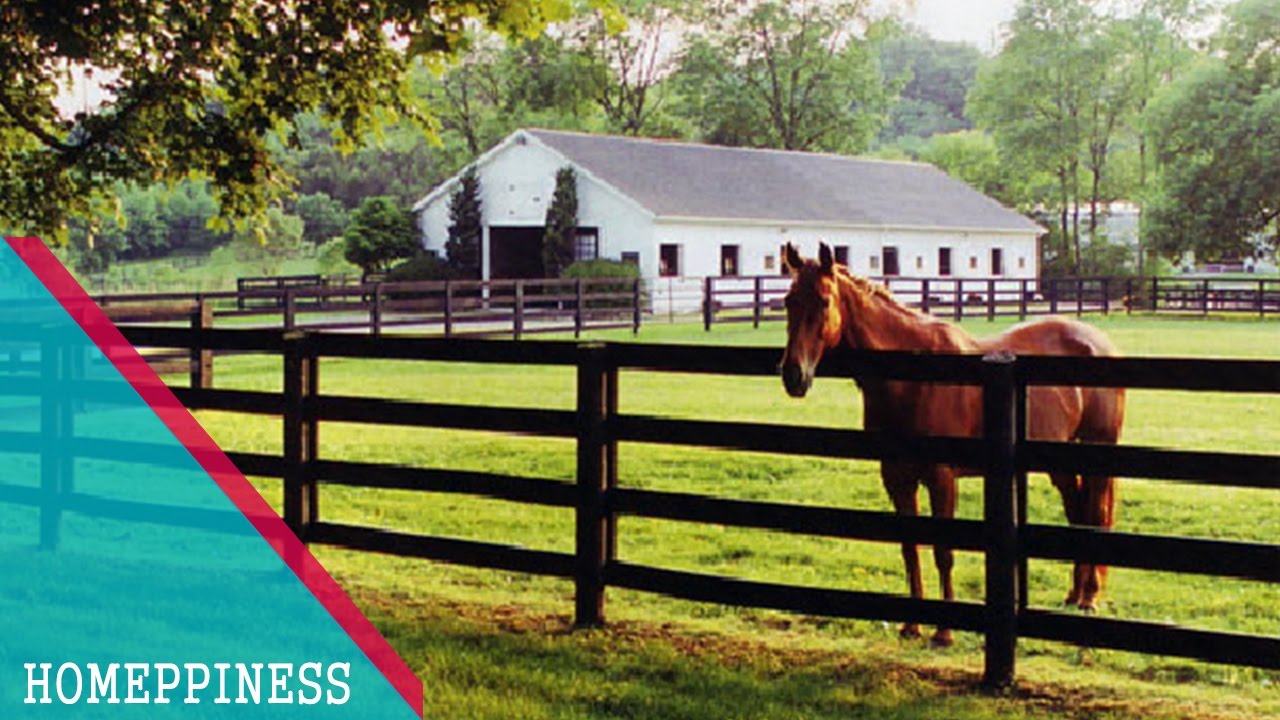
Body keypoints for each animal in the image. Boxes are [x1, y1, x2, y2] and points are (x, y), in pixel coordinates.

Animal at [778, 242, 1125, 646]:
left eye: (823, 300)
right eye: (788, 300)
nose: (793, 375)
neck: (915, 379)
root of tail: (1100, 343)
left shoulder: (941, 477)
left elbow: (943, 551)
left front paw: (944, 632)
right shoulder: (897, 478)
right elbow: (910, 549)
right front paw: (912, 626)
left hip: (1096, 451)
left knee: (1094, 514)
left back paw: (1089, 598)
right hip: (1060, 459)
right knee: (1077, 512)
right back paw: (1074, 595)